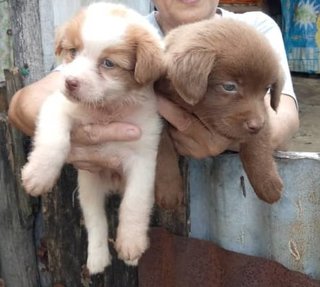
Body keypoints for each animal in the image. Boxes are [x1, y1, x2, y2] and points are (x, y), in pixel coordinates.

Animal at [21, 2, 164, 276]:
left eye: (108, 63)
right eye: (73, 52)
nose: (70, 82)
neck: (108, 108)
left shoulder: (143, 156)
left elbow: (134, 203)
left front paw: (131, 242)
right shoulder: (57, 106)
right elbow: (54, 142)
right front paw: (39, 175)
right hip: (88, 187)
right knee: (96, 222)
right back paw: (97, 260)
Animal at [156, 18, 284, 206]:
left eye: (267, 88)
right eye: (229, 87)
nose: (256, 125)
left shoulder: (263, 113)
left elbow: (258, 144)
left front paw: (267, 182)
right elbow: (162, 145)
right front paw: (168, 190)